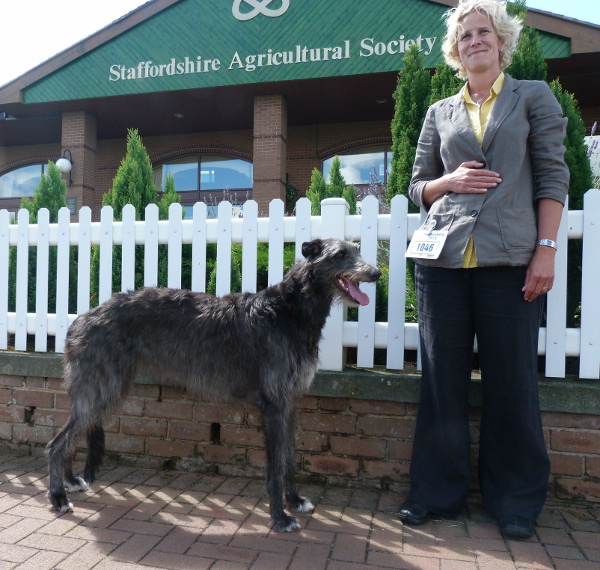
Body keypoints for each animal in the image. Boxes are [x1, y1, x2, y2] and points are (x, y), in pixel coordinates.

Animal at [49, 235, 382, 528]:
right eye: (340, 254)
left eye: (357, 249)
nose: (376, 273)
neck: (289, 311)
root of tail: (80, 320)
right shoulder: (273, 404)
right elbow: (275, 466)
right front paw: (280, 517)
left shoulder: (290, 401)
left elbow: (288, 457)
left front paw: (295, 500)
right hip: (101, 388)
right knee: (56, 443)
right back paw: (58, 497)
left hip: (106, 390)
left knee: (69, 437)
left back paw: (70, 481)